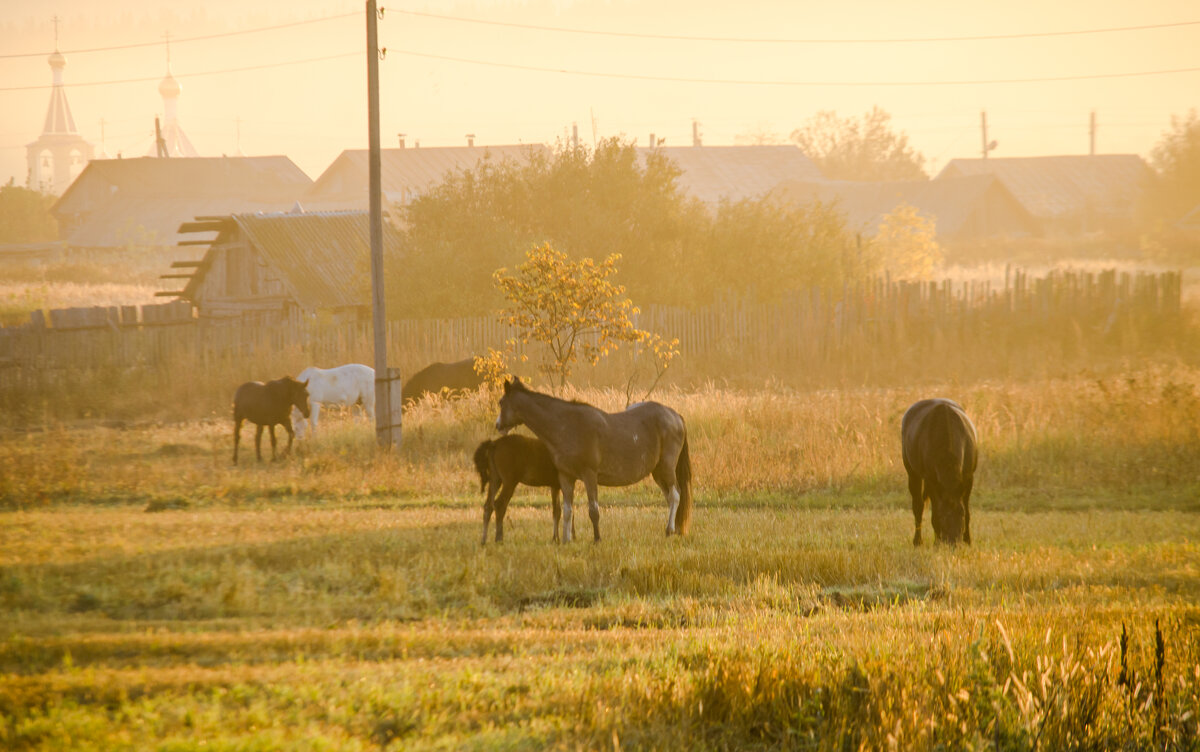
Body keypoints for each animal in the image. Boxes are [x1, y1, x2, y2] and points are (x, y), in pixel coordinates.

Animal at [492, 378, 691, 544]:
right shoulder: (566, 477)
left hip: (666, 468)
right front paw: (566, 540)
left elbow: (593, 510)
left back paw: (669, 530)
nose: (498, 425)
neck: (567, 426)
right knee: (670, 497)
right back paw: (674, 530)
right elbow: (567, 510)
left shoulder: (590, 475)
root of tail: (676, 416)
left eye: (501, 402)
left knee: (675, 495)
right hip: (657, 472)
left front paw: (597, 539)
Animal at [902, 400, 979, 546]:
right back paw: (917, 541)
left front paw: (968, 540)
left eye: (960, 514)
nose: (953, 542)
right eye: (943, 516)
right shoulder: (931, 479)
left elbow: (968, 510)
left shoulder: (969, 477)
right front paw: (936, 542)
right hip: (912, 472)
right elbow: (934, 513)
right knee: (918, 506)